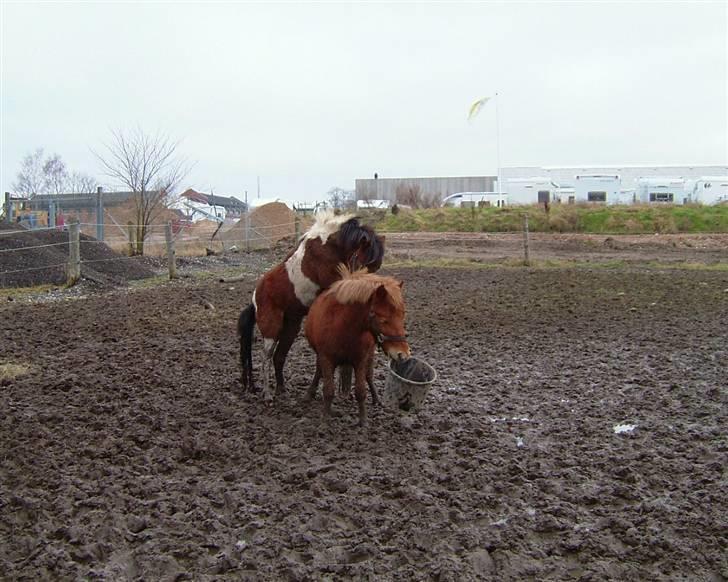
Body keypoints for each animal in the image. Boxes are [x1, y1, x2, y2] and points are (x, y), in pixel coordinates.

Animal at [239, 213, 386, 402]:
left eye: (375, 267)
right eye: (362, 263)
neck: (330, 247)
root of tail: (255, 298)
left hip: (291, 327)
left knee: (279, 357)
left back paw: (281, 390)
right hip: (271, 328)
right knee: (266, 357)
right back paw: (267, 394)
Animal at [304, 266, 412, 426]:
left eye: (402, 315)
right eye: (383, 320)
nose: (402, 354)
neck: (343, 327)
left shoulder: (360, 360)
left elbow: (361, 391)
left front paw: (363, 420)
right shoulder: (326, 358)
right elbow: (328, 390)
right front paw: (325, 419)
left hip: (370, 355)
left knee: (369, 375)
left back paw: (376, 399)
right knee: (319, 371)